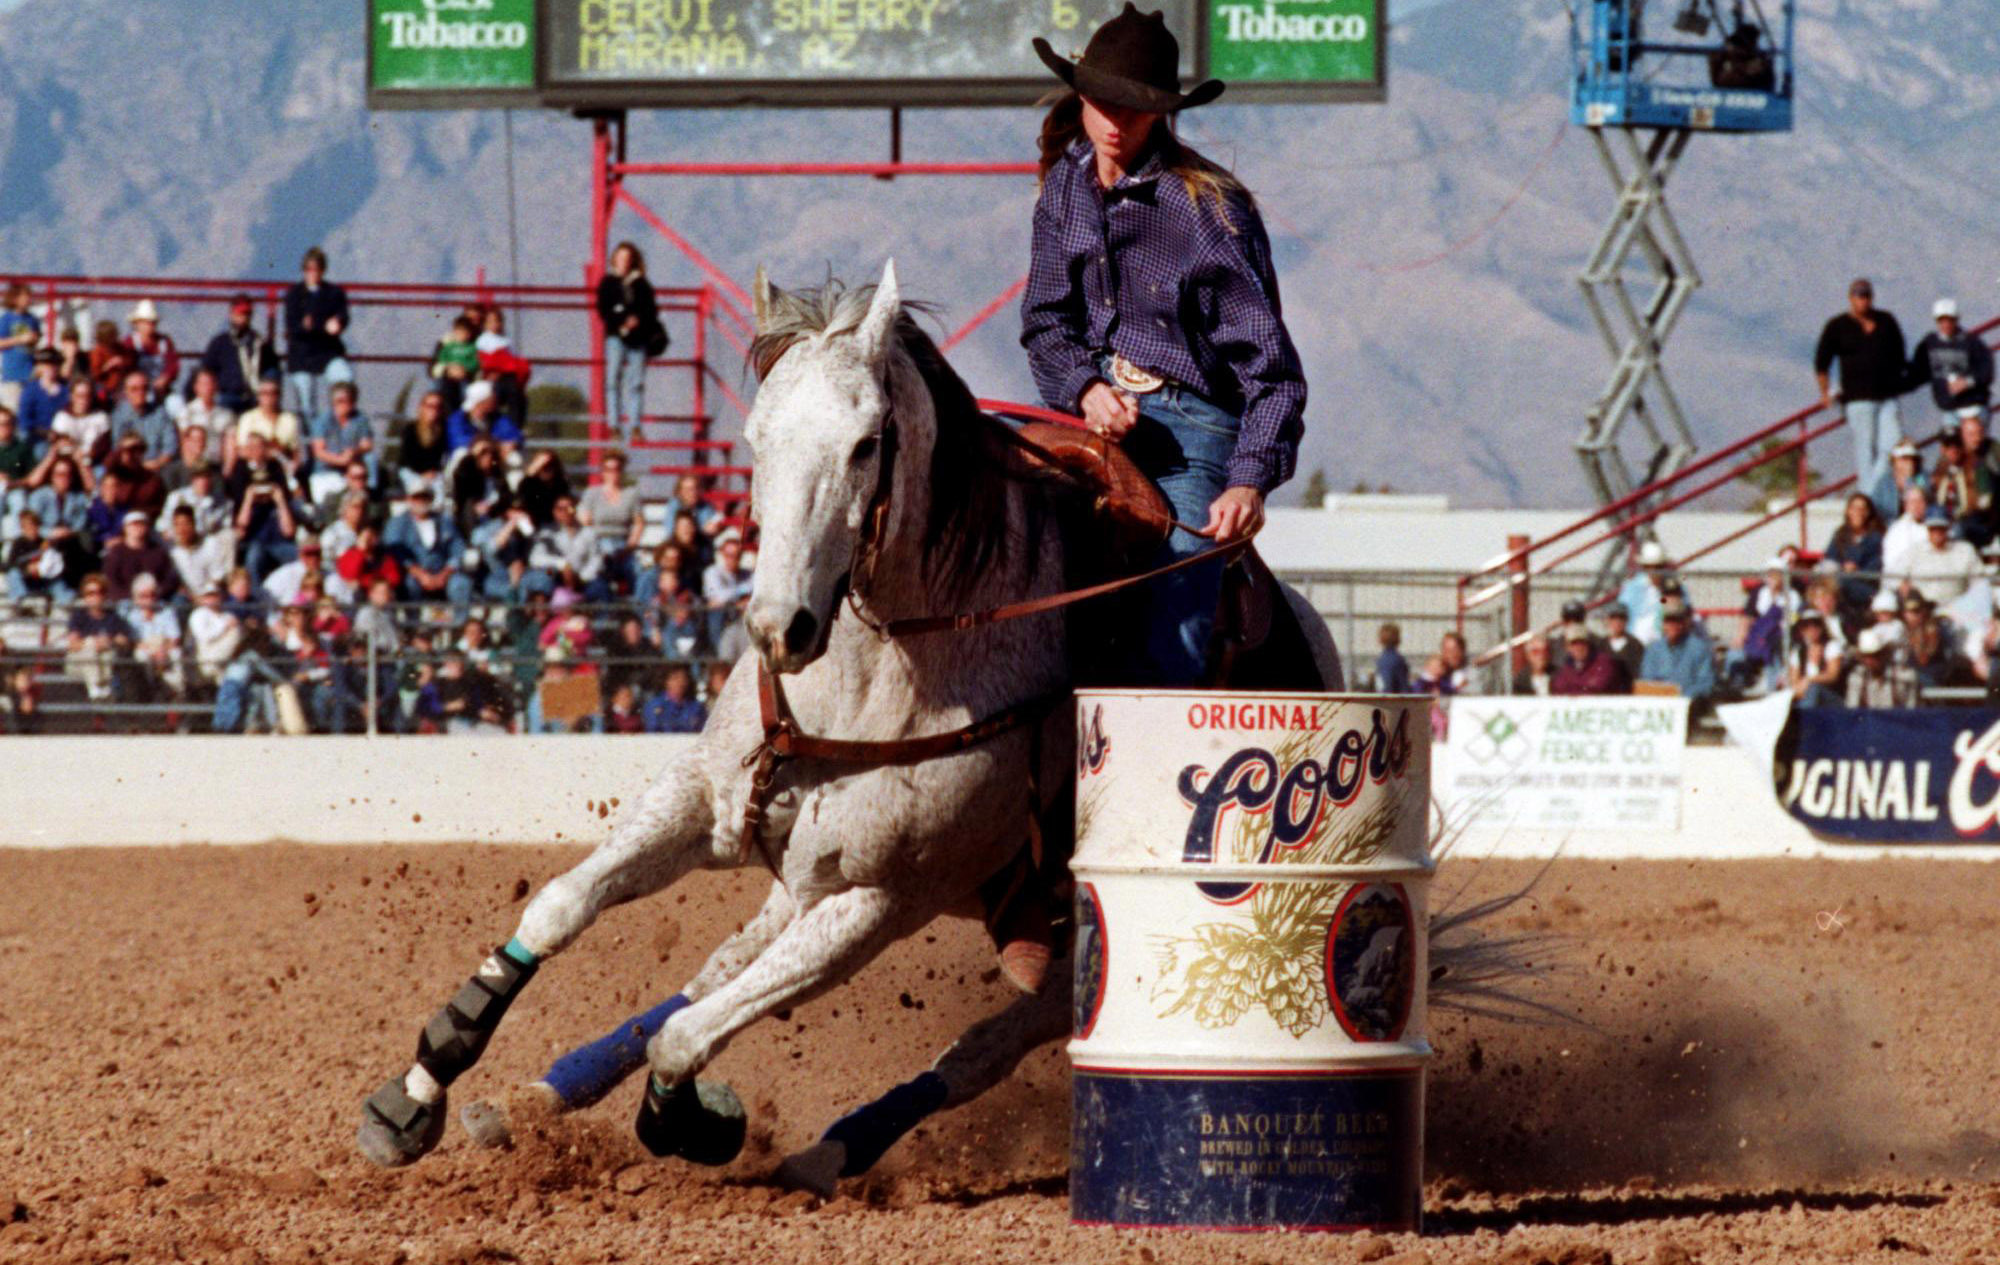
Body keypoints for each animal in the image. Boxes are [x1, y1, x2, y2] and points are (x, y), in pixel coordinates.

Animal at [358, 262, 1344, 1184]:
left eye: (867, 444)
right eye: (754, 439)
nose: (778, 628)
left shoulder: (878, 898)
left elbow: (691, 1037)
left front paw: (692, 1121)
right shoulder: (706, 798)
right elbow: (567, 906)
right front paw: (418, 1088)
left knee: (978, 1048)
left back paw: (829, 1151)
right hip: (801, 873)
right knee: (715, 973)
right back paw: (531, 1100)